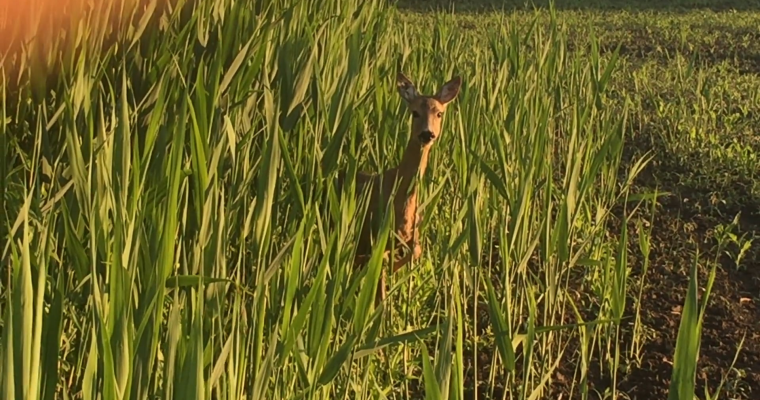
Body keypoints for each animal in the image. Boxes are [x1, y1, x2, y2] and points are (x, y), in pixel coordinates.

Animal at [334, 72, 464, 306]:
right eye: (415, 112)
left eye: (439, 113)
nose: (427, 134)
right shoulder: (377, 234)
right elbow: (379, 285)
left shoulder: (409, 231)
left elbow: (416, 250)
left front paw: (395, 270)